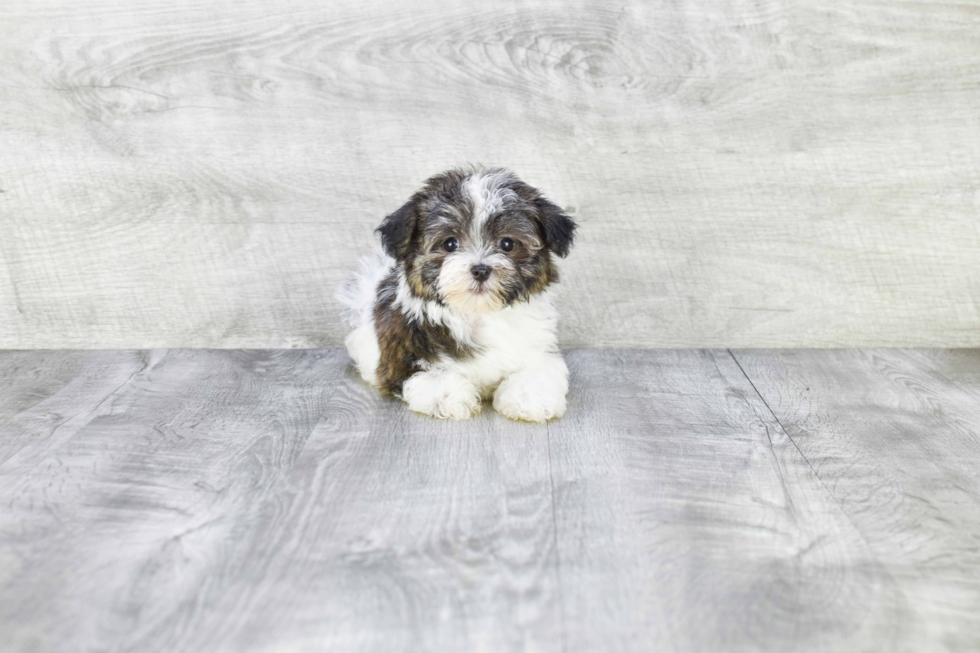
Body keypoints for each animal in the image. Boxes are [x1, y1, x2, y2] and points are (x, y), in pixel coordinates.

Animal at [340, 167, 580, 422]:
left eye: (507, 244)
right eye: (450, 244)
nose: (481, 269)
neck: (479, 315)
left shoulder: (539, 346)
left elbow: (537, 370)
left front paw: (528, 397)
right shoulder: (402, 355)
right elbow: (428, 375)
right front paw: (447, 396)